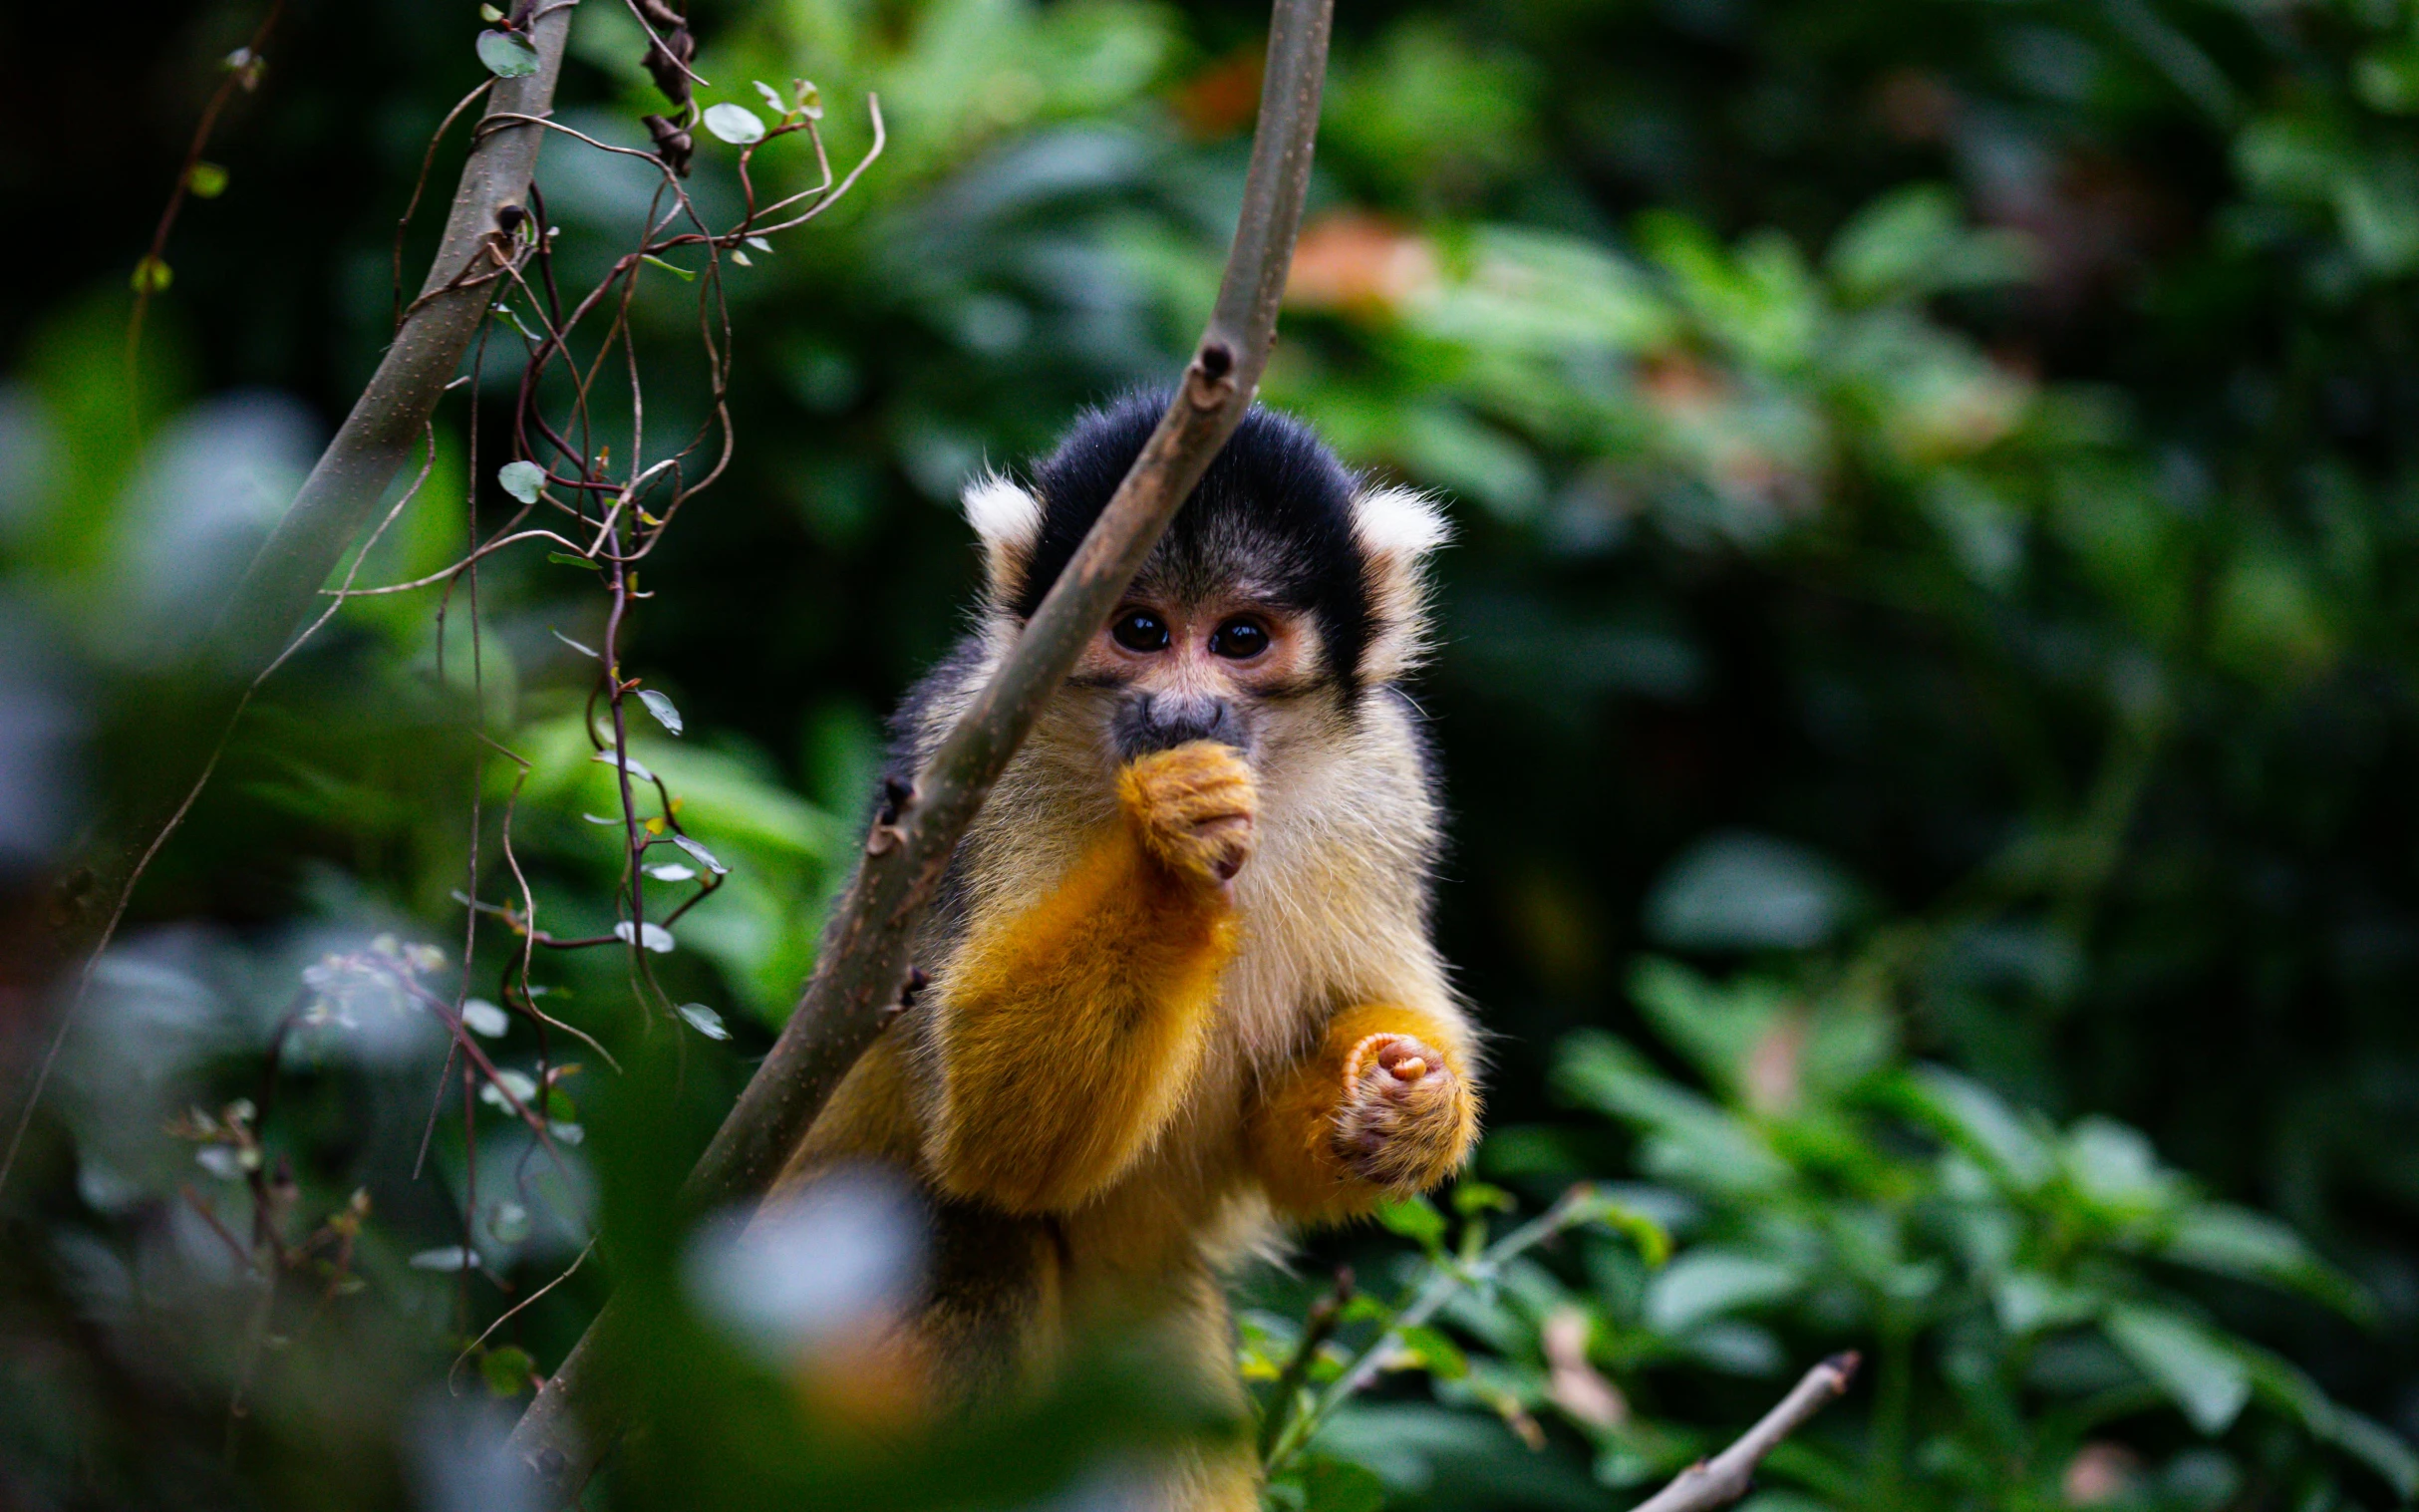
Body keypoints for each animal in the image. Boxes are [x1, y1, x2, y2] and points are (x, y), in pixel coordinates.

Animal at [773, 389, 1470, 1499]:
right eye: (1140, 631)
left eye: (1239, 637)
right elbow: (994, 1139)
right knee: (963, 1228)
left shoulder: (1387, 783)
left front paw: (1406, 1104)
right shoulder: (963, 767)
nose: (1184, 711)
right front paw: (1173, 842)